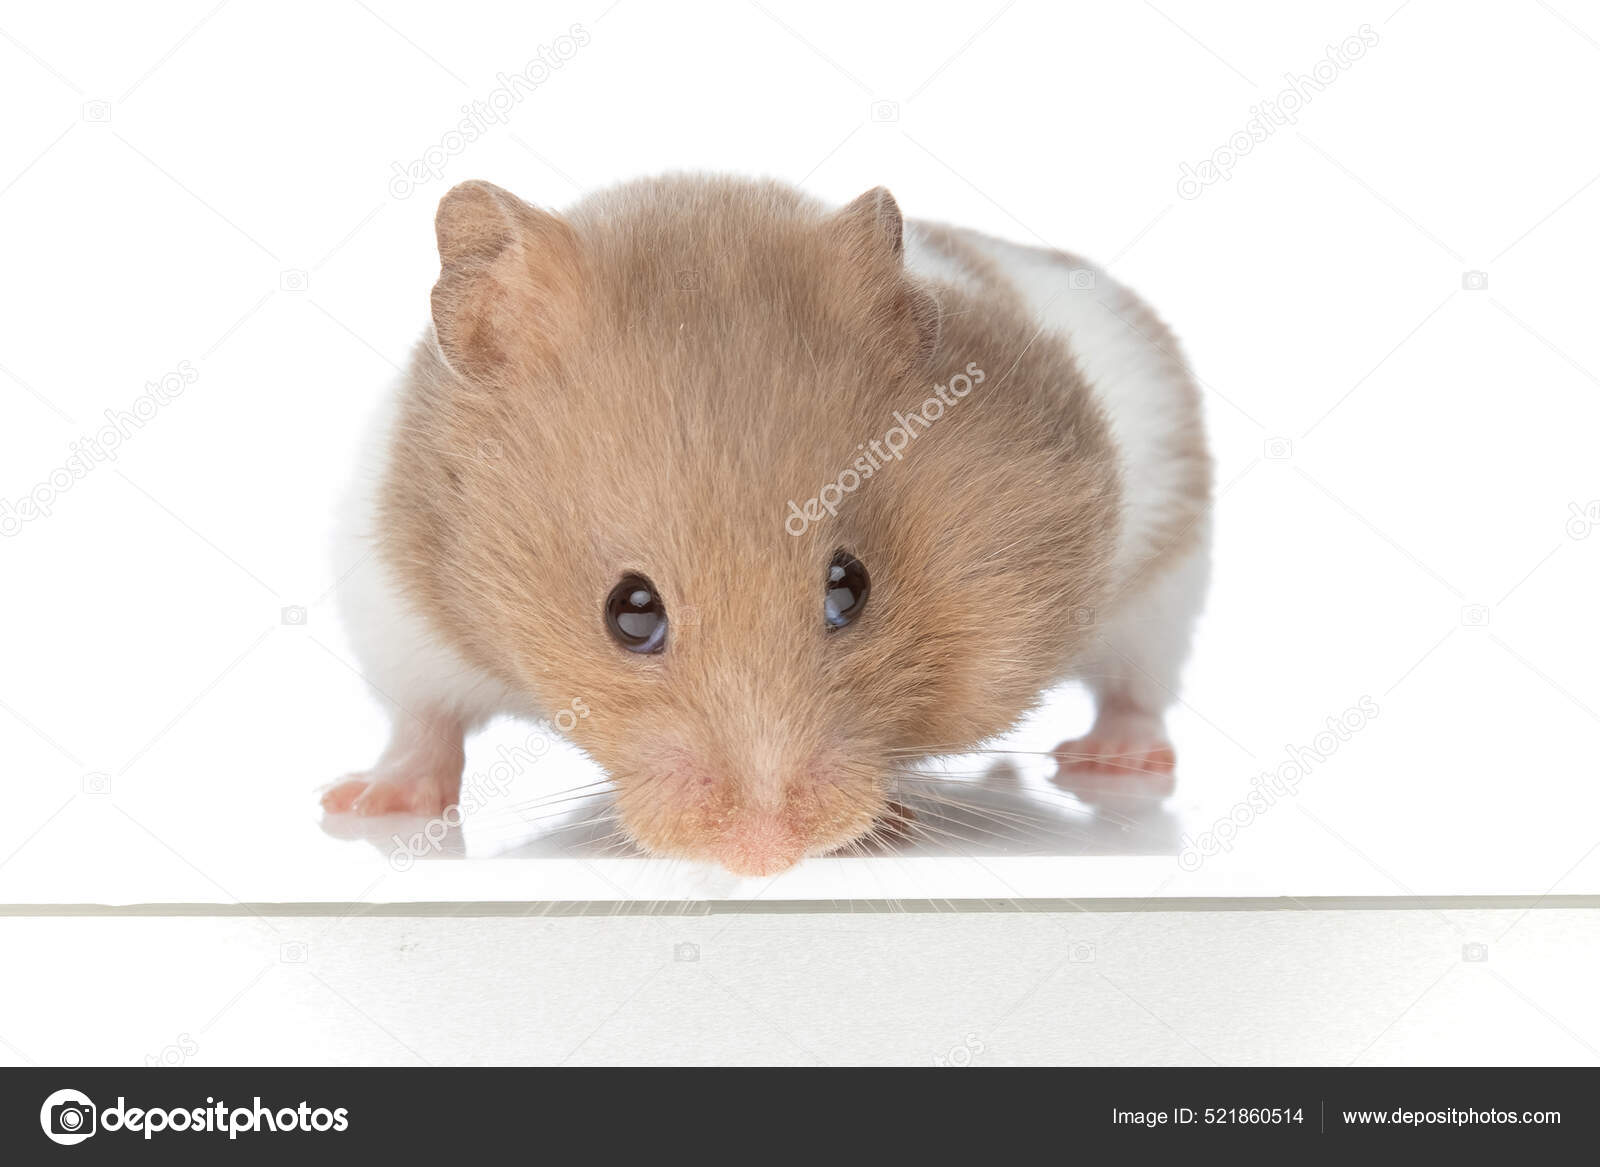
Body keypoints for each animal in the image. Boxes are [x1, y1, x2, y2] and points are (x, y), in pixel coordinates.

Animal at [324, 172, 1209, 870]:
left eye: (849, 588)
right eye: (629, 612)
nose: (765, 855)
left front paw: (889, 818)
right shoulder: (393, 601)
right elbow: (422, 718)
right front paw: (364, 804)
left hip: (1165, 585)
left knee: (1138, 684)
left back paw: (1115, 760)